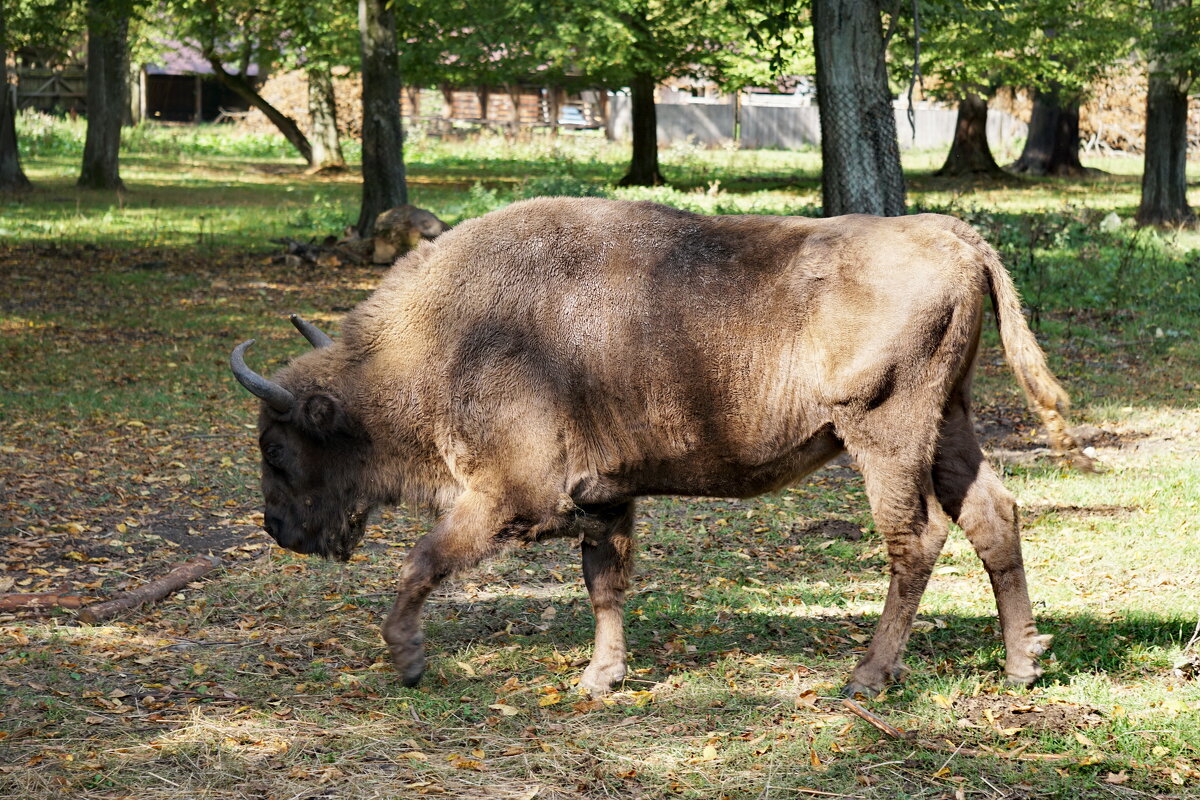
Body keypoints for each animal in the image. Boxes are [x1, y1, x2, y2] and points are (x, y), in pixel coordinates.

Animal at [231, 196, 1089, 695]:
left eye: (278, 449)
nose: (280, 530)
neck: (444, 336)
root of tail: (961, 239)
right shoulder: (606, 497)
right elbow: (604, 583)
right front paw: (600, 679)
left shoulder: (510, 497)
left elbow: (424, 561)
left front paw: (408, 660)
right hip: (952, 421)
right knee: (994, 517)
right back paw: (1022, 666)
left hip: (885, 433)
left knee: (917, 538)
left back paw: (867, 679)